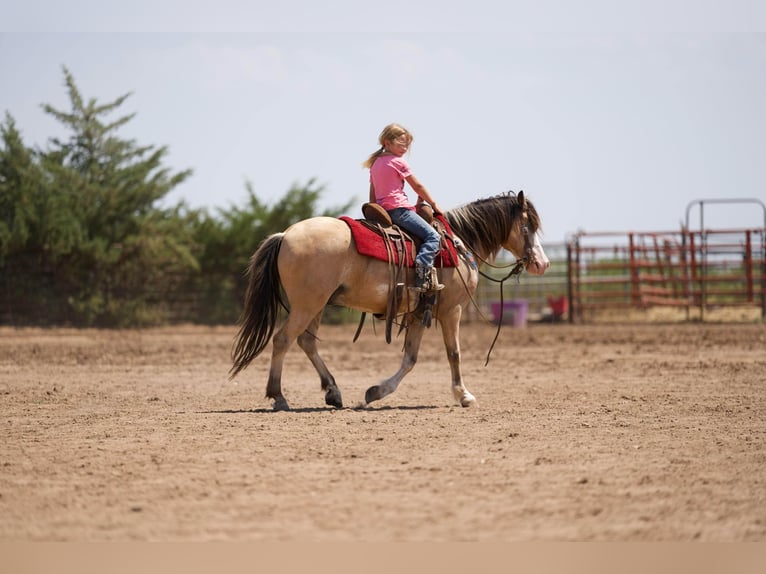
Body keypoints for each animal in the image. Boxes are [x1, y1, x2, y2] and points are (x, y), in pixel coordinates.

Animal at [230, 190, 549, 411]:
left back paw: (333, 392)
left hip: (316, 305)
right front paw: (464, 395)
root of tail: (285, 235)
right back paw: (279, 396)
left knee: (306, 342)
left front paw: (375, 392)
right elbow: (453, 353)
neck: (458, 243)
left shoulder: (420, 311)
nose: (542, 264)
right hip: (307, 305)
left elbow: (410, 358)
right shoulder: (451, 309)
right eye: (527, 227)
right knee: (283, 339)